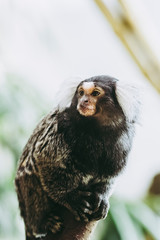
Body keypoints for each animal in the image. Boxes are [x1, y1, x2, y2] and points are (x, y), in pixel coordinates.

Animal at [15, 74, 140, 238]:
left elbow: (110, 175)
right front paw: (70, 197)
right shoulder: (60, 126)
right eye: (81, 93)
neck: (97, 130)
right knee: (29, 175)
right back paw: (44, 221)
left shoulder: (124, 143)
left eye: (95, 93)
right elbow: (44, 158)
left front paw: (102, 196)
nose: (84, 101)